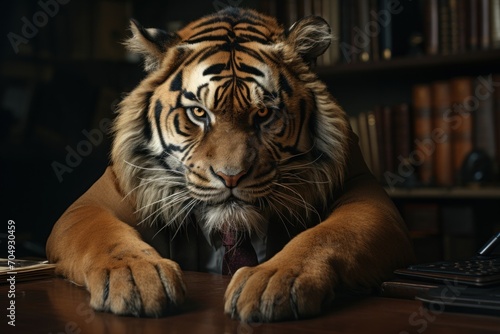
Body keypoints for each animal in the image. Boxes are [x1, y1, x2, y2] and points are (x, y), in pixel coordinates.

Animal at [46, 6, 414, 322]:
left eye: (263, 113)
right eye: (198, 113)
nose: (231, 176)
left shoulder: (368, 199)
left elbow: (327, 235)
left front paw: (273, 280)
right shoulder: (93, 203)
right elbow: (104, 234)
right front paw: (136, 277)